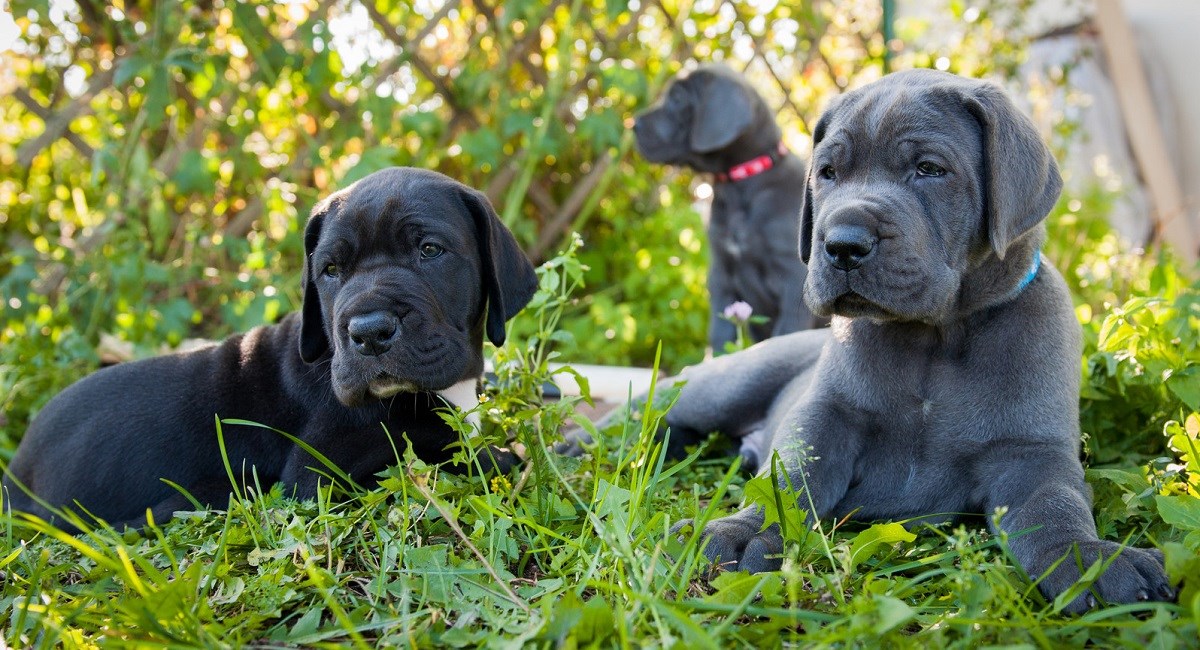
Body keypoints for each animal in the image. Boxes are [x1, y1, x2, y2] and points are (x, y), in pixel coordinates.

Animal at [0, 169, 535, 534]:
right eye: (330, 271)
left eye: (429, 250)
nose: (368, 332)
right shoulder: (318, 479)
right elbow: (436, 461)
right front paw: (501, 459)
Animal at [633, 63, 820, 354]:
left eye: (677, 99)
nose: (633, 124)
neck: (740, 185)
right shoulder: (721, 274)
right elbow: (720, 333)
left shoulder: (793, 278)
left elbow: (786, 332)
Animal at [667, 68, 1171, 614]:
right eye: (827, 173)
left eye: (929, 169)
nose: (843, 244)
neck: (936, 335)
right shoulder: (827, 416)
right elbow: (789, 479)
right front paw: (745, 532)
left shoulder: (1031, 452)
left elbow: (1054, 506)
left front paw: (1092, 558)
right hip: (729, 382)